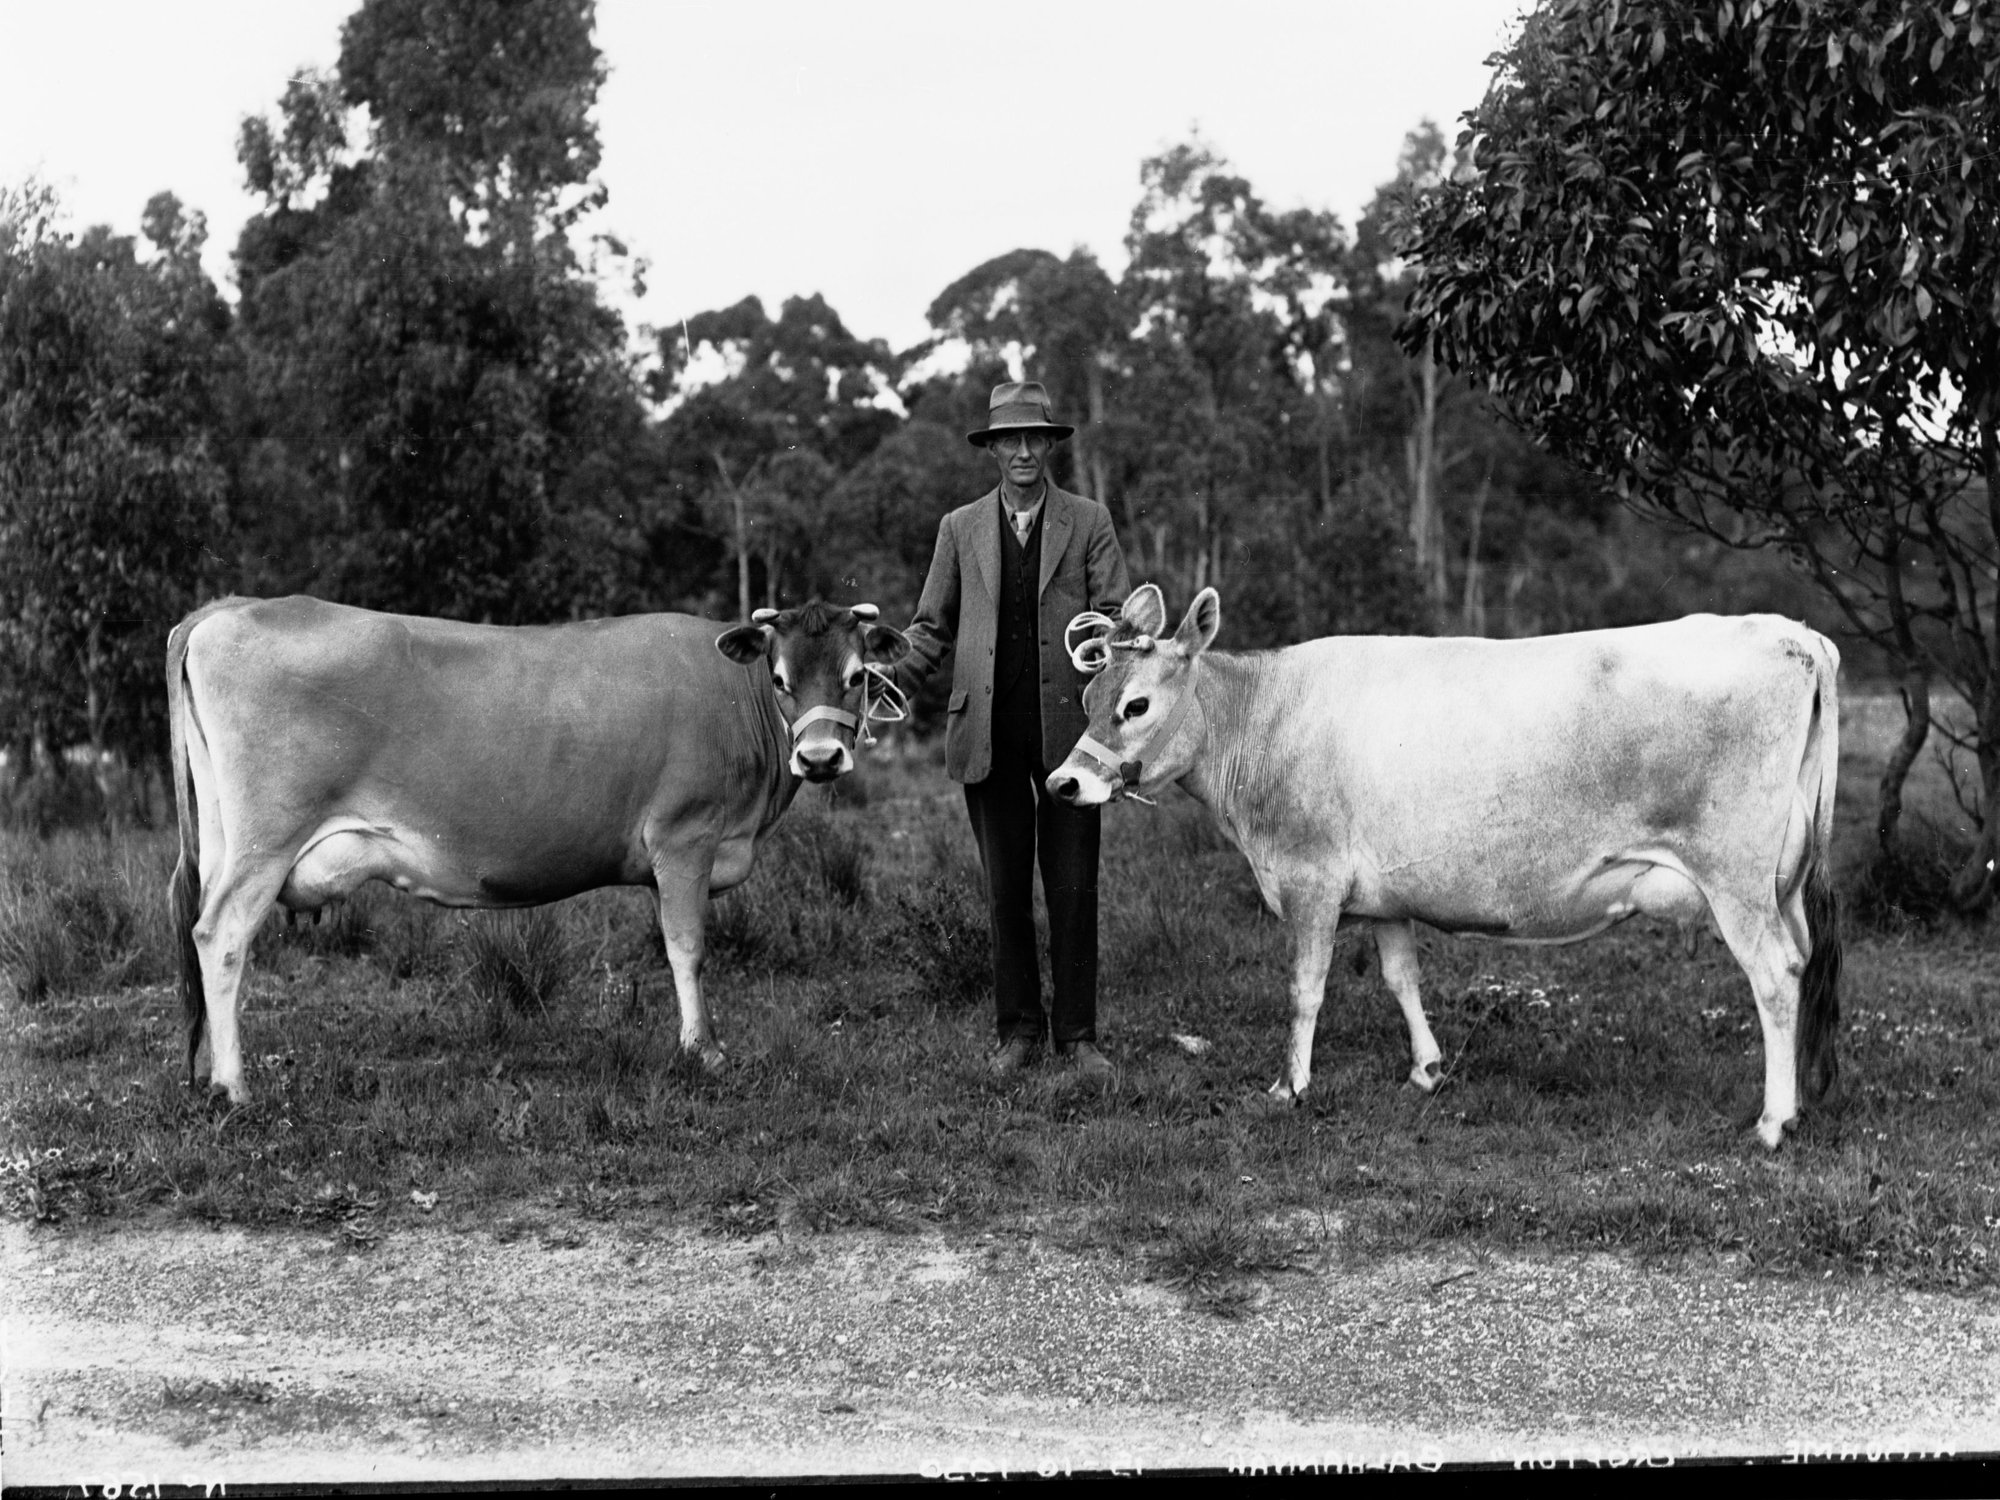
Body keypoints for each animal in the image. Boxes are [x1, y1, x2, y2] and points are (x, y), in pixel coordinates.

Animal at [166, 595, 908, 1104]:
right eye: (781, 680)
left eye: (857, 677)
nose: (820, 758)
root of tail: (230, 608)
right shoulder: (685, 838)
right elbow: (687, 948)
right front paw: (704, 1050)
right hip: (266, 839)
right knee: (219, 934)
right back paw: (235, 1087)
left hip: (224, 839)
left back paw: (206, 1073)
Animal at [1048, 585, 1842, 1150]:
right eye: (1087, 696)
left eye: (1136, 704)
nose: (1063, 784)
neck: (1264, 718)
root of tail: (1794, 632)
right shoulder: (1383, 895)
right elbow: (1402, 978)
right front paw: (1426, 1071)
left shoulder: (1309, 879)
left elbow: (1305, 989)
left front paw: (1290, 1088)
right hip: (1786, 885)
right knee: (1803, 965)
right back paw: (1804, 1100)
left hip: (1736, 879)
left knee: (1774, 977)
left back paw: (1774, 1122)